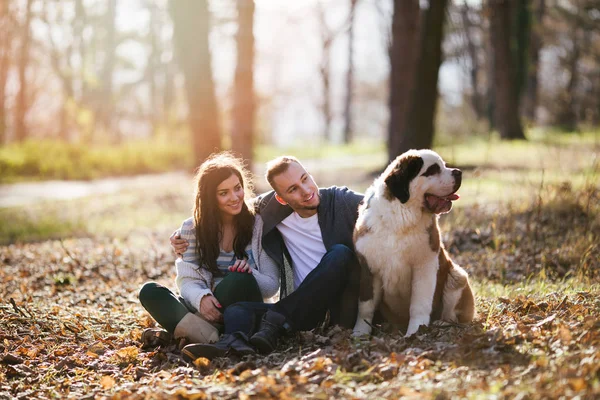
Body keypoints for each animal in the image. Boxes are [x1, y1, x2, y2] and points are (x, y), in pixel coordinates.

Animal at [352, 148, 474, 336]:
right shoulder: (369, 268)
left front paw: (416, 331)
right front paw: (360, 333)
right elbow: (366, 305)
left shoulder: (424, 266)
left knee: (453, 314)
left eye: (444, 165)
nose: (458, 172)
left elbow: (420, 303)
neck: (401, 217)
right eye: (433, 170)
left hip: (457, 276)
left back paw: (442, 324)